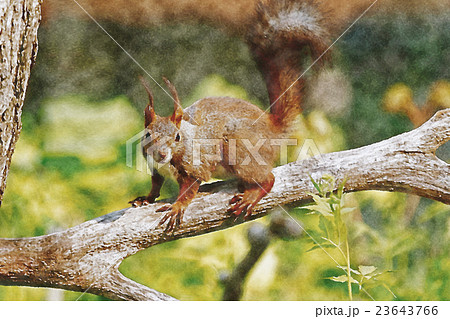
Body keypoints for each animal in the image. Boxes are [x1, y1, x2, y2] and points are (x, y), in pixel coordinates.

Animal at [129, 0, 330, 231]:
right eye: (147, 134)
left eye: (177, 136)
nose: (161, 154)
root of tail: (273, 127)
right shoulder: (154, 167)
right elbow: (156, 185)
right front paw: (145, 198)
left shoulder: (196, 165)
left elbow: (189, 189)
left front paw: (177, 206)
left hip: (241, 148)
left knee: (268, 178)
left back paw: (251, 196)